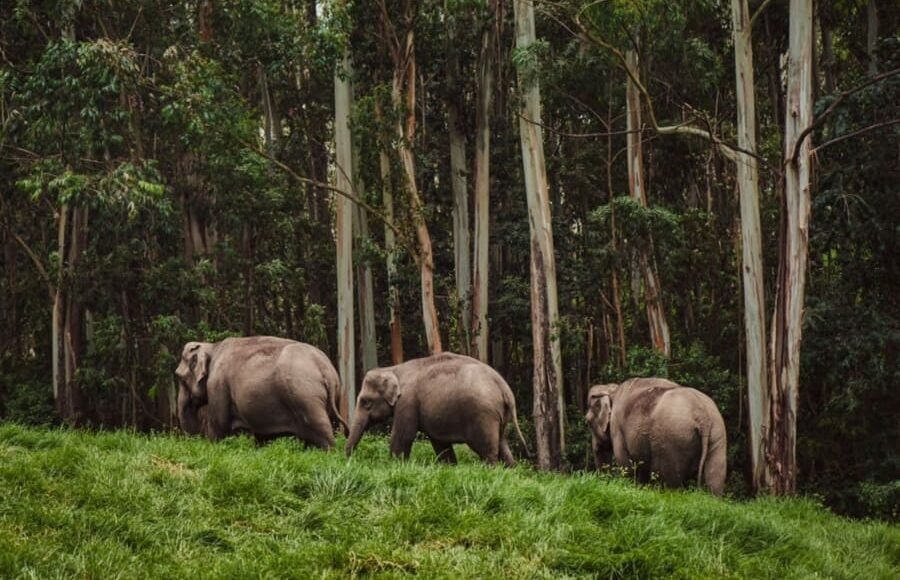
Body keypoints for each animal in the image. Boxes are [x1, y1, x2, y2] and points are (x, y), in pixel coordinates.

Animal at [175, 336, 348, 449]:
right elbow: (262, 435)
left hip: (305, 396)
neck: (212, 347)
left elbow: (219, 425)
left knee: (321, 430)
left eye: (179, 377)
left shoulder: (217, 384)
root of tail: (325, 367)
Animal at [344, 352, 528, 466]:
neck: (393, 368)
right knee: (503, 445)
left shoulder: (407, 401)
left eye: (365, 402)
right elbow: (440, 443)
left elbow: (403, 435)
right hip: (500, 416)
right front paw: (450, 467)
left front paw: (394, 465)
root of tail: (505, 388)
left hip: (484, 415)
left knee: (487, 450)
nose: (349, 459)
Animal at [585, 377, 726, 495]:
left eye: (587, 421)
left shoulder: (617, 428)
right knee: (715, 478)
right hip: (717, 434)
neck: (612, 390)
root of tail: (701, 414)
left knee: (671, 480)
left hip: (673, 439)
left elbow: (626, 464)